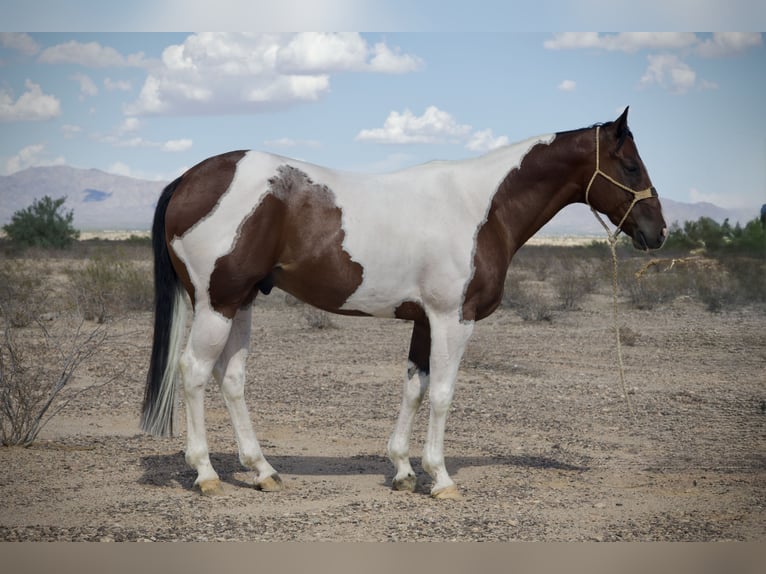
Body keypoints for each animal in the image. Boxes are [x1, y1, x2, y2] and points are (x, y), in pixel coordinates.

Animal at [141, 107, 666, 499]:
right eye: (631, 166)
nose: (657, 232)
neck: (480, 207)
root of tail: (187, 179)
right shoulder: (454, 319)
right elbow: (442, 394)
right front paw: (441, 478)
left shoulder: (425, 321)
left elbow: (414, 387)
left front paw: (403, 471)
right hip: (217, 304)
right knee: (193, 372)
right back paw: (206, 474)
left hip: (242, 303)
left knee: (231, 379)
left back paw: (263, 471)